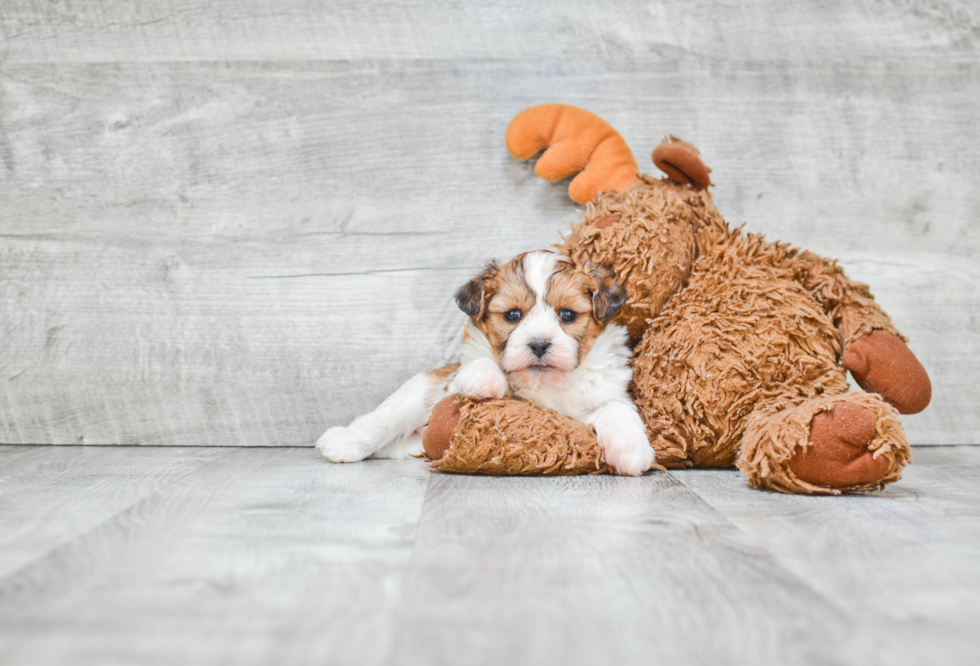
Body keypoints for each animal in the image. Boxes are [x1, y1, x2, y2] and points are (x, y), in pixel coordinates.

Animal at [322, 249, 656, 472]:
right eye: (512, 315)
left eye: (567, 315)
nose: (538, 344)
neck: (544, 383)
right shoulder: (455, 384)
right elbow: (482, 366)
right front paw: (483, 378)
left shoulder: (592, 403)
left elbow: (617, 408)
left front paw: (632, 449)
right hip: (413, 397)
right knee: (378, 421)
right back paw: (341, 442)